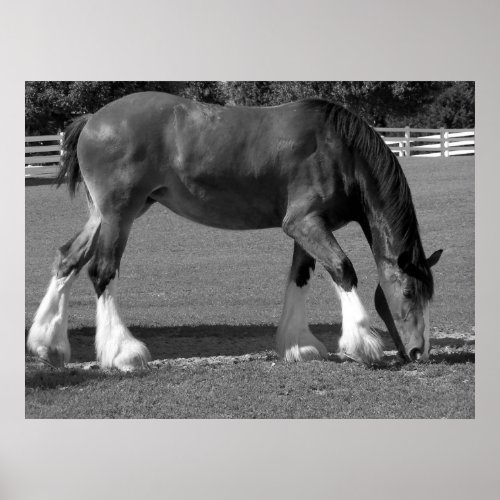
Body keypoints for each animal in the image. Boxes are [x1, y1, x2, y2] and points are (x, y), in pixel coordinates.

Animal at [27, 92, 442, 372]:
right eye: (408, 291)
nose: (419, 352)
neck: (339, 150)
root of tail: (93, 119)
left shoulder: (305, 229)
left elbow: (300, 278)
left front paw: (298, 345)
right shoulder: (305, 223)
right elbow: (343, 269)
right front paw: (362, 343)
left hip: (102, 216)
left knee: (67, 260)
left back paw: (48, 344)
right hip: (119, 215)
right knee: (102, 272)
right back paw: (123, 352)